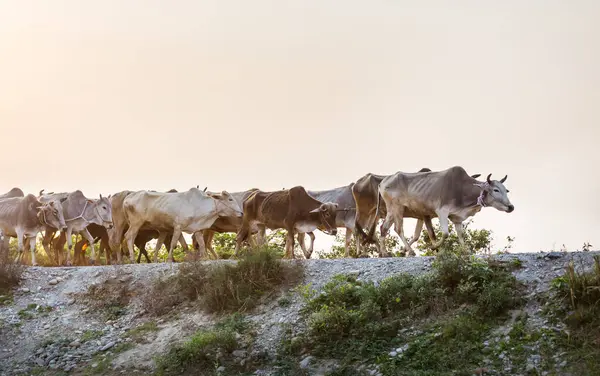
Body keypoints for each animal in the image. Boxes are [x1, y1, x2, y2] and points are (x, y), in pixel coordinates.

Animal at [376, 167, 510, 256]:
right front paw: (435, 247)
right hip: (397, 208)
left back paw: (385, 253)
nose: (511, 207)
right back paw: (410, 251)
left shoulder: (457, 218)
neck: (461, 189)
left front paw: (465, 250)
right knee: (398, 228)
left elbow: (460, 234)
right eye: (496, 190)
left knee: (384, 227)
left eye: (506, 190)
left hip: (392, 211)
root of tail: (383, 182)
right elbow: (444, 233)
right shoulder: (441, 211)